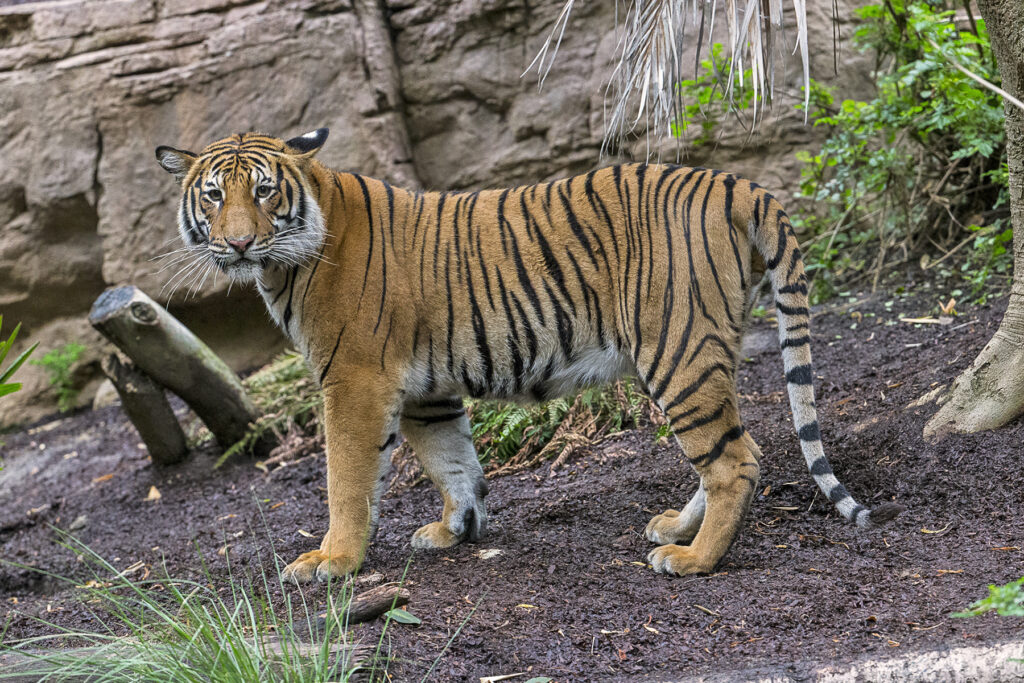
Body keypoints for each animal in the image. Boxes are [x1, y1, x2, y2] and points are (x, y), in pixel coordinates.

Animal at [155, 127, 901, 581]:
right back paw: (675, 528)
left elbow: (347, 478)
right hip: (700, 349)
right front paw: (456, 529)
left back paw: (693, 559)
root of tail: (733, 183)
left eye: (264, 190)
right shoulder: (425, 390)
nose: (238, 242)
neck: (288, 258)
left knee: (736, 458)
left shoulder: (355, 381)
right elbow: (452, 460)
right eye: (214, 195)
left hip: (676, 348)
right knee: (736, 444)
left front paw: (332, 561)